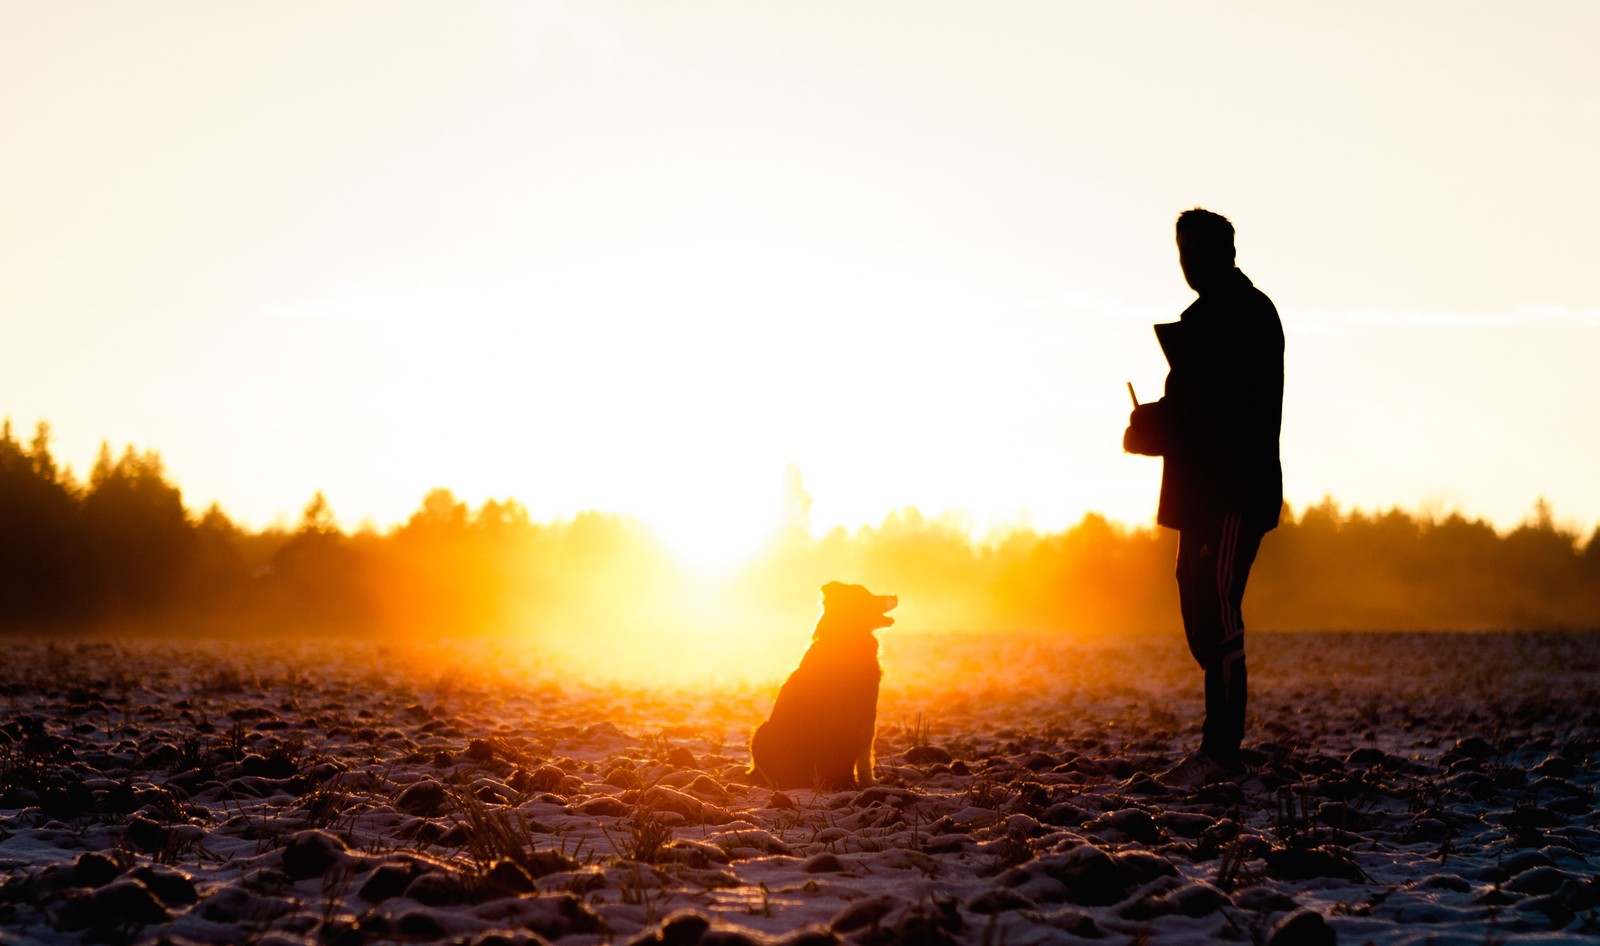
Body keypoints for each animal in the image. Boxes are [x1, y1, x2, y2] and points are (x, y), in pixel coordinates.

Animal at [745, 585, 896, 790]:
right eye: (869, 596)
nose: (895, 596)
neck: (844, 636)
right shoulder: (868, 715)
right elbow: (866, 758)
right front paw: (870, 783)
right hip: (761, 730)